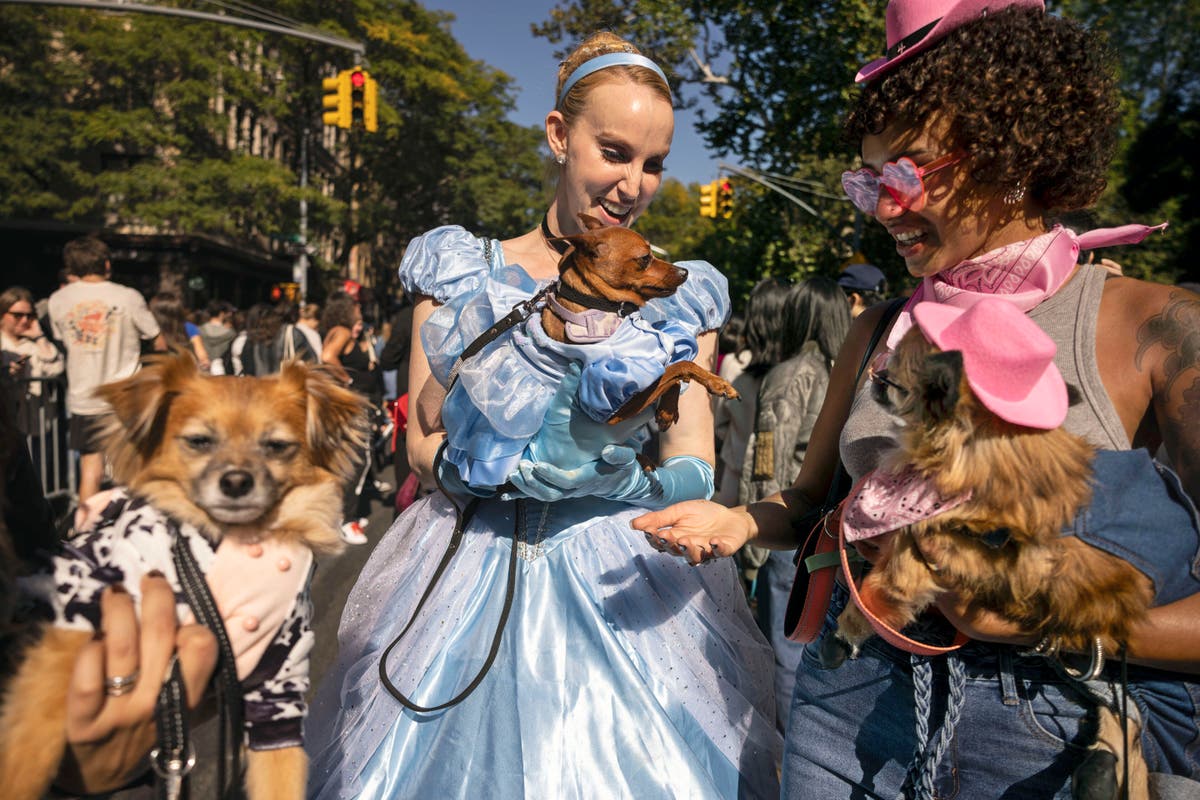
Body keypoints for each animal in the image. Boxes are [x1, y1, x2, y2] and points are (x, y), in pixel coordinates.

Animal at [0, 357, 367, 800]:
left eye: (277, 446)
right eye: (199, 441)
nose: (236, 480)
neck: (237, 538)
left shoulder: (278, 686)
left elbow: (281, 778)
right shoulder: (76, 618)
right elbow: (31, 738)